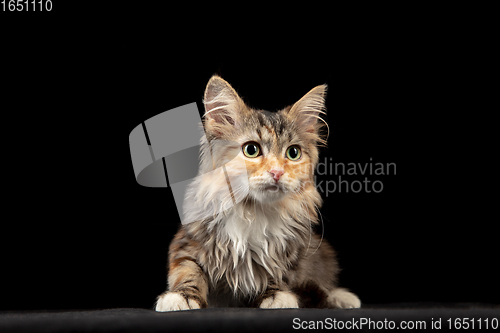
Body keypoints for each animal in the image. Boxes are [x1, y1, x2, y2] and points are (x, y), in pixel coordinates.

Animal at [154, 75, 362, 308]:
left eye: (293, 153)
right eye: (251, 150)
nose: (277, 172)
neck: (252, 211)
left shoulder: (290, 252)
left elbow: (277, 272)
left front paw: (276, 295)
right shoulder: (186, 243)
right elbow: (189, 270)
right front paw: (182, 297)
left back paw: (343, 297)